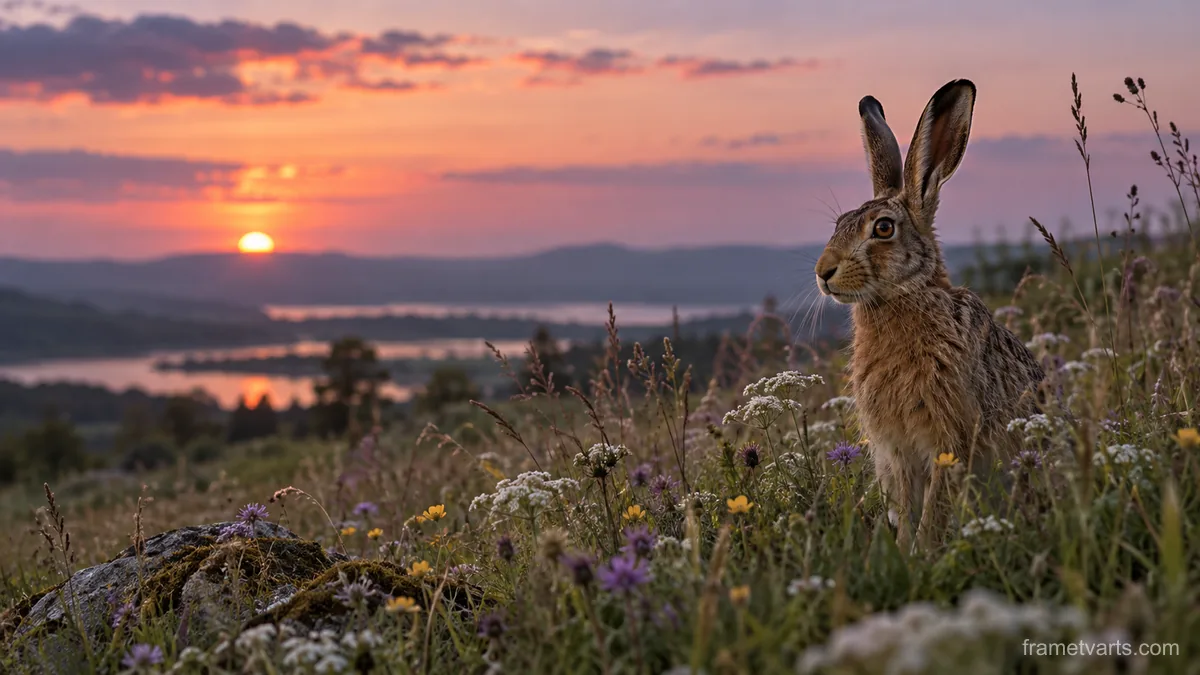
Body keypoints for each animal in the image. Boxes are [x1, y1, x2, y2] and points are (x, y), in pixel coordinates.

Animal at [813, 79, 1045, 551]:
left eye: (884, 228)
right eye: (838, 223)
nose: (823, 272)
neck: (906, 295)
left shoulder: (949, 440)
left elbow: (935, 508)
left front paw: (923, 553)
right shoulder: (897, 451)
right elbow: (907, 505)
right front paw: (906, 552)